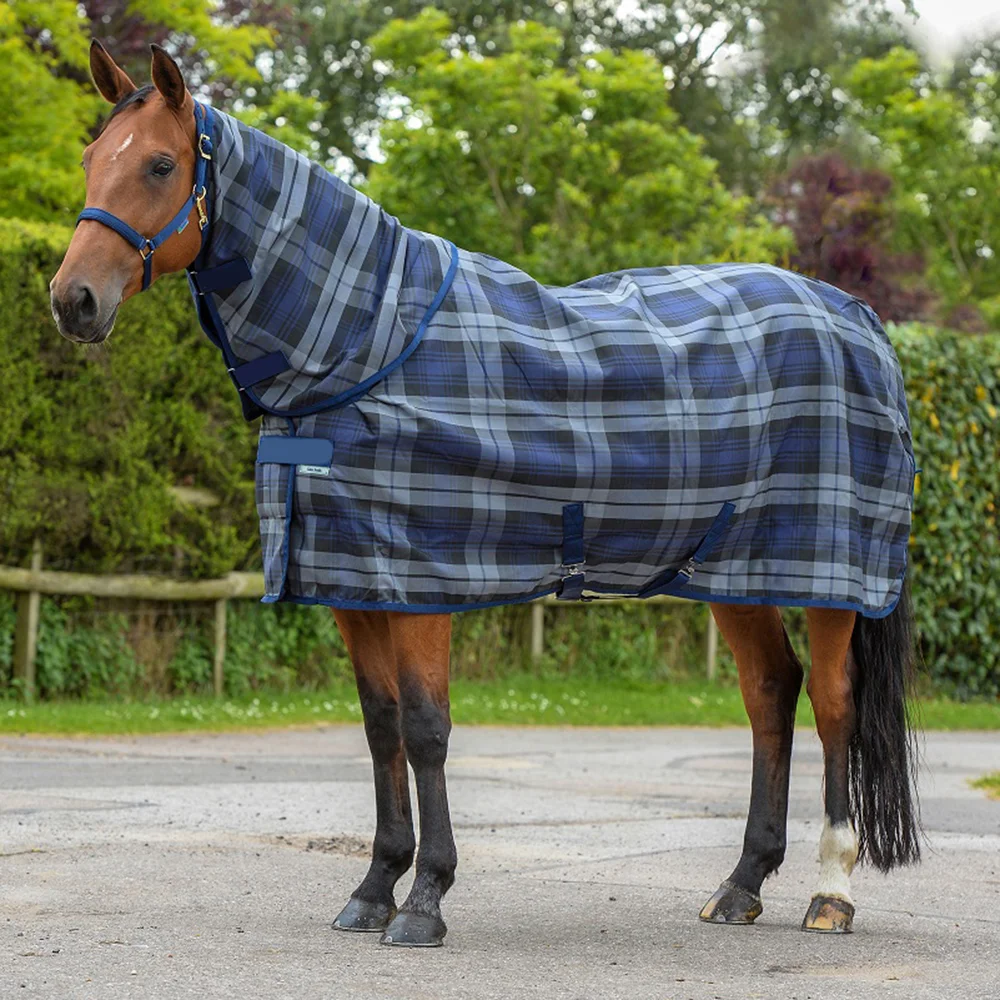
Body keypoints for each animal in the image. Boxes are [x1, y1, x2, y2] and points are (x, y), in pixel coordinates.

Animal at [51, 41, 920, 948]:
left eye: (160, 163)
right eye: (90, 158)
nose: (73, 300)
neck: (369, 344)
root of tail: (858, 319)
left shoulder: (420, 584)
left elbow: (426, 730)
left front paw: (425, 898)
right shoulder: (353, 587)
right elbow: (380, 728)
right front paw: (374, 887)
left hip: (829, 576)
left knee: (833, 705)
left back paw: (831, 891)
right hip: (734, 571)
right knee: (769, 695)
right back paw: (742, 882)